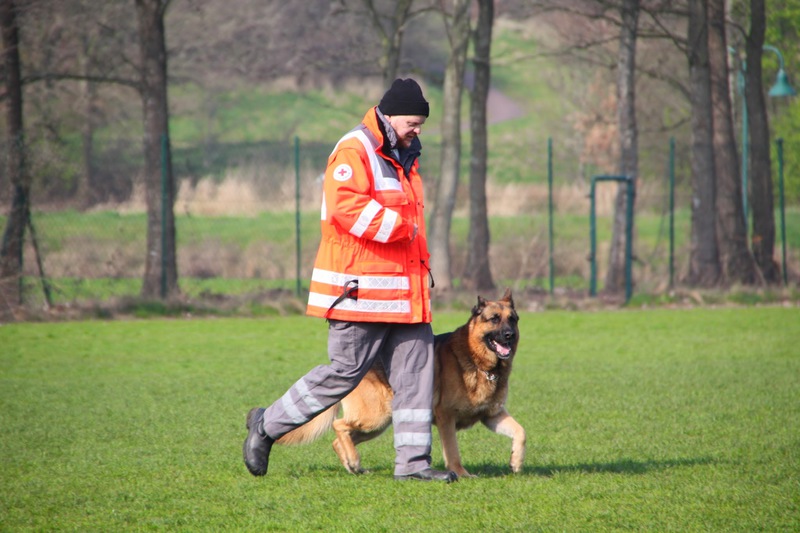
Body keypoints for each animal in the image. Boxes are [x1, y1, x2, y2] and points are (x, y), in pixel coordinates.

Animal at [277, 289, 525, 478]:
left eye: (512, 319)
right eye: (494, 319)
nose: (510, 335)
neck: (481, 363)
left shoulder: (492, 415)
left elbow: (521, 432)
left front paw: (516, 462)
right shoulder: (446, 418)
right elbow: (453, 452)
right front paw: (461, 474)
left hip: (377, 425)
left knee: (338, 441)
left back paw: (353, 466)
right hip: (374, 418)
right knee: (339, 425)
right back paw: (354, 461)